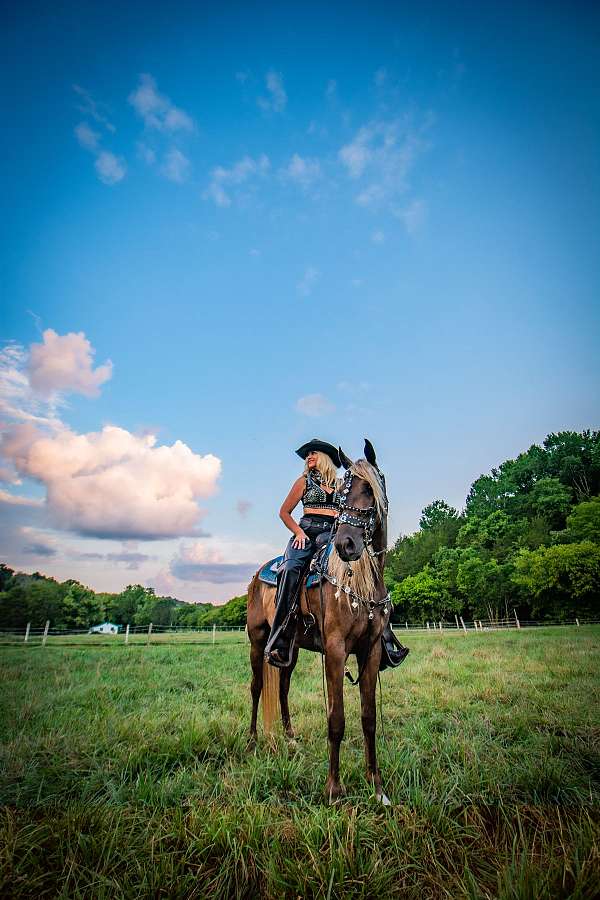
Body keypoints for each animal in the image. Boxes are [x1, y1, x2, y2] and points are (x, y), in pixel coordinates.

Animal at [246, 436, 392, 800]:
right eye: (342, 495)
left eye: (369, 489)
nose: (345, 544)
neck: (358, 583)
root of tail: (258, 574)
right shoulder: (336, 652)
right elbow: (336, 719)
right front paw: (334, 788)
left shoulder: (370, 651)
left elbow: (368, 718)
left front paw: (376, 785)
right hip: (257, 640)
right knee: (256, 687)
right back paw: (252, 741)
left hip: (290, 648)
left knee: (282, 688)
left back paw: (290, 739)